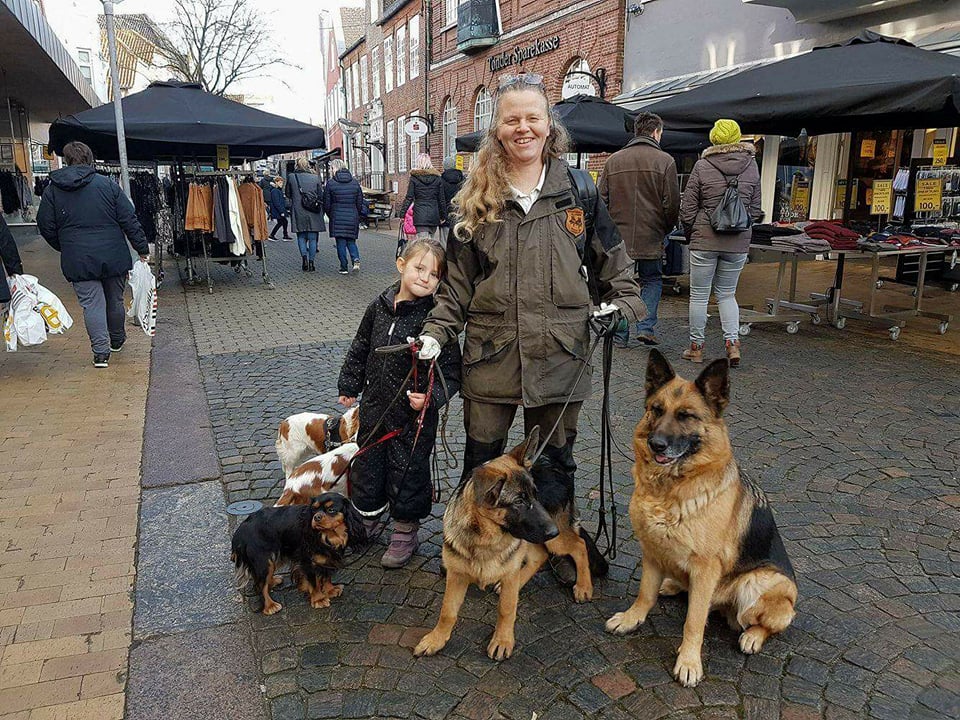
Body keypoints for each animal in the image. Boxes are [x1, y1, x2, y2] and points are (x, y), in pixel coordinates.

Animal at [414, 430, 604, 660]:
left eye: (535, 496)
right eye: (519, 501)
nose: (553, 531)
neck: (485, 538)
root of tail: (557, 467)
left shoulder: (511, 566)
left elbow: (506, 608)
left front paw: (502, 640)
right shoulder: (456, 575)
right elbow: (447, 612)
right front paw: (436, 639)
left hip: (553, 540)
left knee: (578, 545)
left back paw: (583, 586)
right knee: (540, 556)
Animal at [608, 352, 796, 688]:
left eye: (686, 416)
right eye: (656, 410)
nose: (657, 444)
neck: (671, 487)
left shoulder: (706, 568)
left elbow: (694, 621)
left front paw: (688, 662)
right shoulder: (652, 552)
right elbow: (644, 594)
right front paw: (632, 619)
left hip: (760, 582)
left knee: (761, 622)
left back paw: (752, 636)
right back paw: (672, 585)